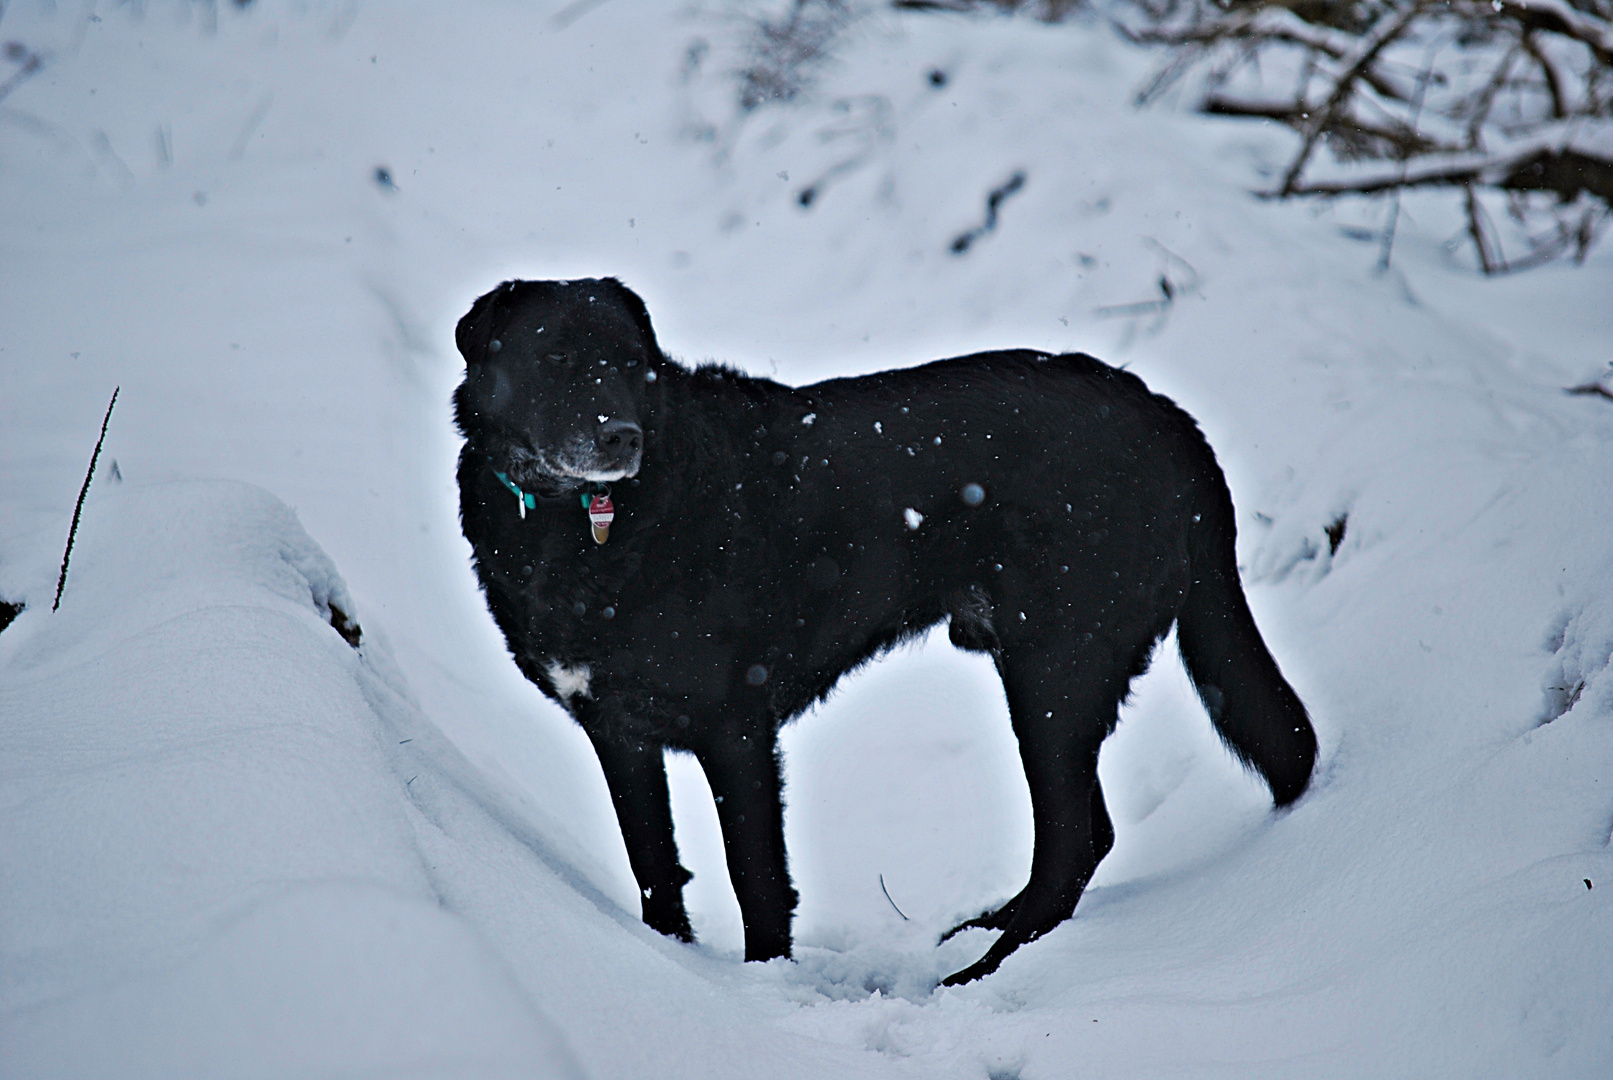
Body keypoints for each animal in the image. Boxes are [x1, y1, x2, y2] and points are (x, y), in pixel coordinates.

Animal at [451, 278, 1309, 992]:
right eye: (557, 359)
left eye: (633, 365)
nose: (621, 438)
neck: (581, 525)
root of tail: (1164, 414)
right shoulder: (616, 732)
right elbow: (653, 861)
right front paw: (672, 960)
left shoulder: (737, 728)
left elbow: (755, 874)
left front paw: (765, 987)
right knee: (1082, 834)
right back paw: (991, 929)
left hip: (1056, 669)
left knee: (1073, 838)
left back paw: (986, 972)